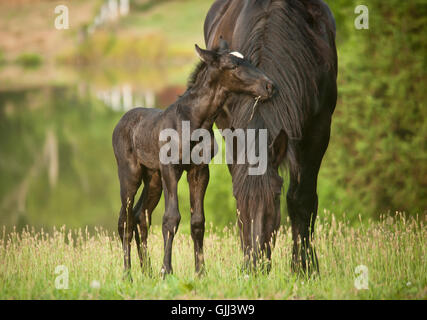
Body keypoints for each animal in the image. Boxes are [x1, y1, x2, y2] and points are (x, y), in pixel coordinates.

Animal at [113, 40, 274, 278]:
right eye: (233, 65)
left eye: (249, 61)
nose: (270, 86)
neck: (195, 122)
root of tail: (120, 122)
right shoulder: (171, 169)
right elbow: (171, 218)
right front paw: (166, 270)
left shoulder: (199, 171)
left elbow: (197, 221)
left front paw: (200, 272)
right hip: (130, 174)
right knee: (125, 219)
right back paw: (128, 274)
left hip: (153, 179)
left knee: (141, 216)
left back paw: (147, 272)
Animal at [204, 0, 338, 274]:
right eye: (238, 197)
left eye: (275, 195)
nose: (255, 265)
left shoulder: (319, 129)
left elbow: (301, 199)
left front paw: (304, 267)